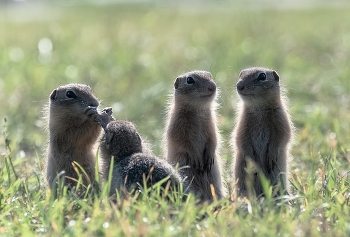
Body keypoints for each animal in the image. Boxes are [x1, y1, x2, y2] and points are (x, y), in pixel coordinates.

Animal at [163, 70, 224, 202]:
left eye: (210, 75)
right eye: (189, 80)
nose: (213, 87)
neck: (198, 110)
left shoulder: (211, 126)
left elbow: (214, 139)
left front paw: (209, 156)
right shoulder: (178, 126)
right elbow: (185, 143)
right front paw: (197, 158)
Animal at [232, 67, 292, 197]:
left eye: (262, 76)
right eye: (241, 74)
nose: (239, 85)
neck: (258, 108)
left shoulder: (281, 119)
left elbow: (282, 137)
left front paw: (271, 156)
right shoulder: (242, 124)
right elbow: (241, 139)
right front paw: (251, 161)